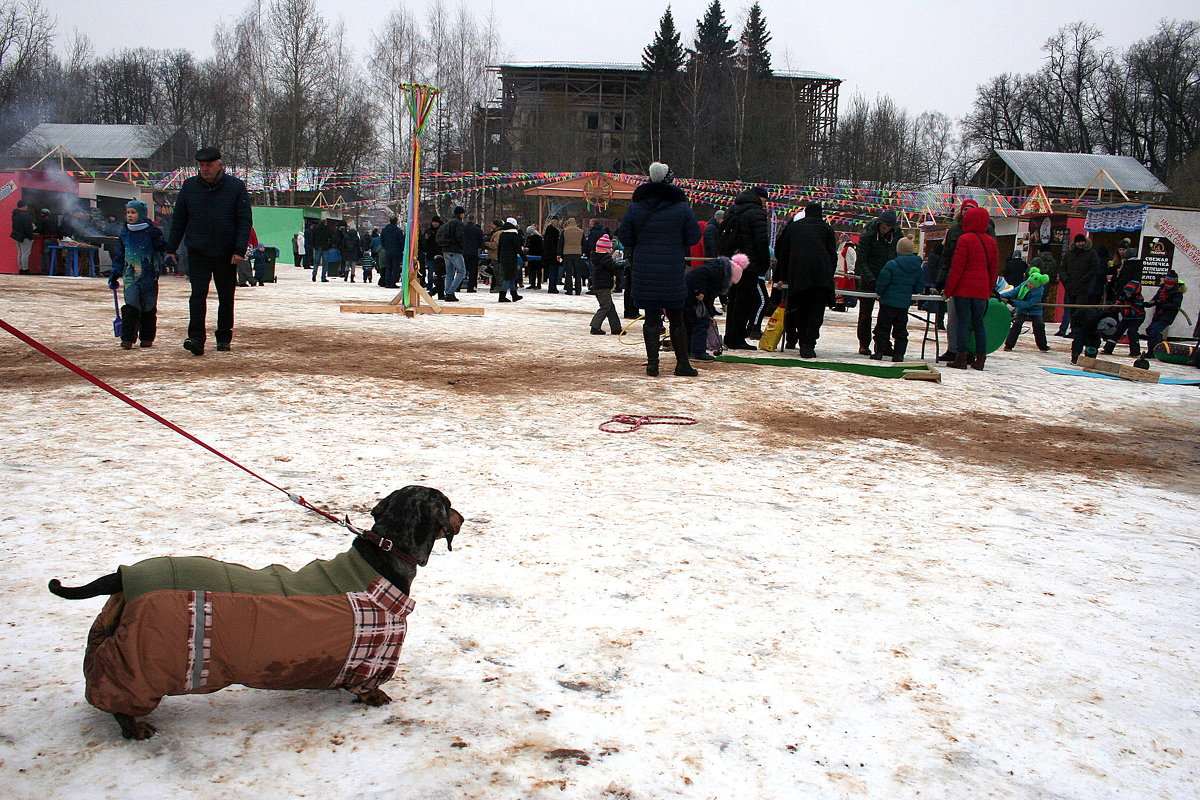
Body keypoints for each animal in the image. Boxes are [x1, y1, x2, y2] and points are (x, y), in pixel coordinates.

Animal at [48, 484, 458, 743]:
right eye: (446, 502)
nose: (463, 516)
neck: (382, 556)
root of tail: (123, 575)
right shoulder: (373, 653)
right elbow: (366, 685)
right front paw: (374, 698)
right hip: (142, 663)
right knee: (117, 699)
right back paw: (134, 728)